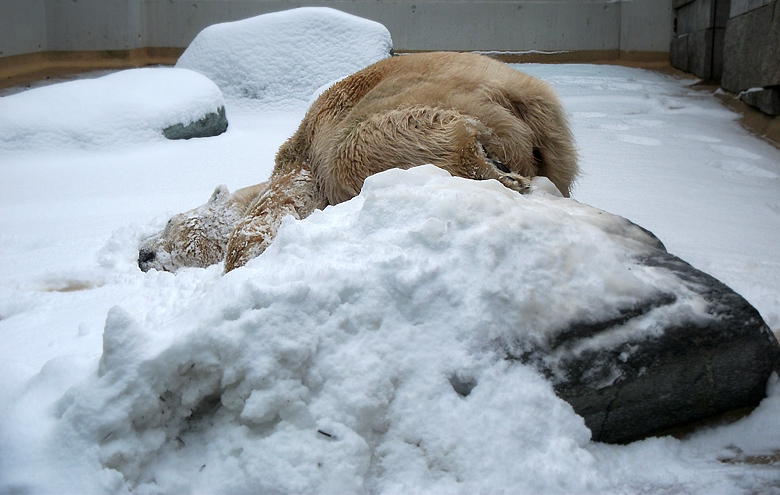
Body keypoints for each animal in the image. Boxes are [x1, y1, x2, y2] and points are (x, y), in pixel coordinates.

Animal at [139, 52, 580, 274]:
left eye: (169, 222)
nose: (142, 254)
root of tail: (517, 91)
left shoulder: (305, 153)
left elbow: (273, 211)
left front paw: (240, 261)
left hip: (437, 102)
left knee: (356, 151)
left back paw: (496, 171)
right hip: (555, 140)